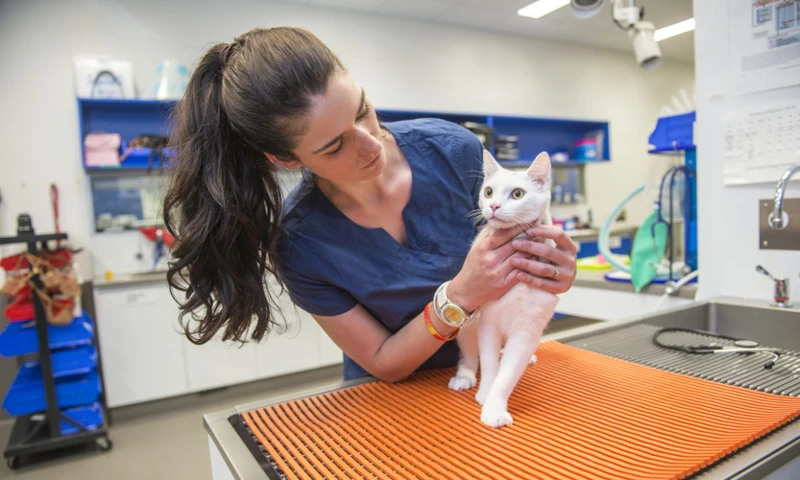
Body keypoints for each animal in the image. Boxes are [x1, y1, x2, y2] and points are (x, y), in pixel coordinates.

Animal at [450, 149, 556, 428]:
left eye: (517, 194)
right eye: (488, 192)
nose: (494, 206)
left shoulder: (527, 330)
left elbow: (507, 374)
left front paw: (495, 407)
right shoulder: (488, 322)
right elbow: (488, 364)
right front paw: (486, 393)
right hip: (467, 325)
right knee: (469, 354)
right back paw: (464, 376)